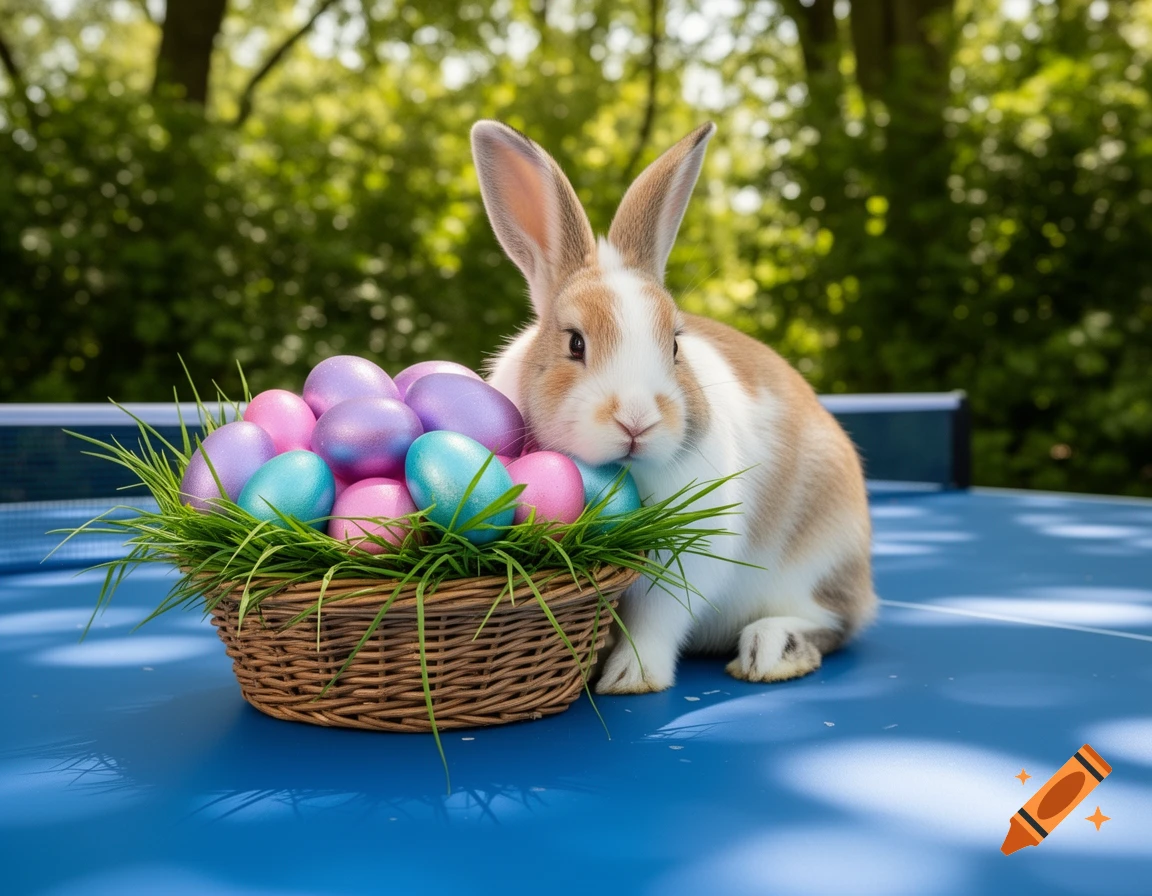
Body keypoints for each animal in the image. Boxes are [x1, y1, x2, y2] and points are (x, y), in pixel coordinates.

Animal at [471, 119, 877, 694]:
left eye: (676, 346)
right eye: (575, 343)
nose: (637, 420)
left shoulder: (684, 564)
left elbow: (655, 621)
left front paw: (630, 678)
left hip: (821, 556)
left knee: (834, 621)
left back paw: (772, 651)